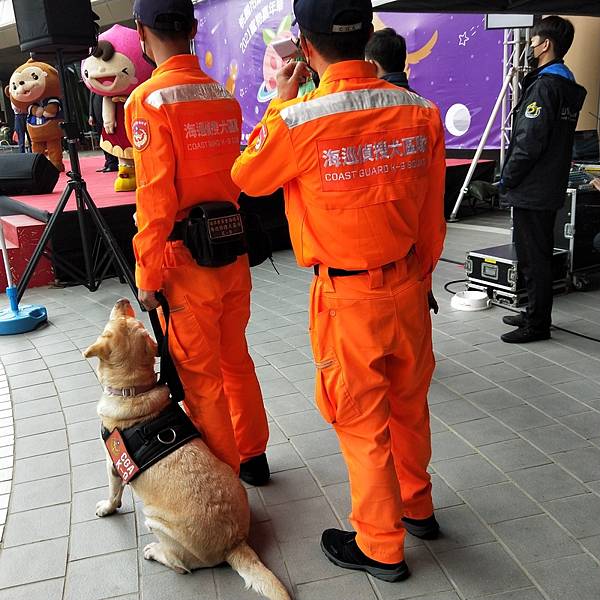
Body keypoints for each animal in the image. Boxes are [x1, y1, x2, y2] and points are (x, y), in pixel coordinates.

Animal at [85, 298, 290, 600]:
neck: (135, 390)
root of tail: (235, 543)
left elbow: (113, 493)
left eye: (117, 320)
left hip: (154, 521)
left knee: (181, 565)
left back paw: (154, 551)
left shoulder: (114, 463)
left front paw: (107, 508)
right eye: (130, 320)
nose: (124, 300)